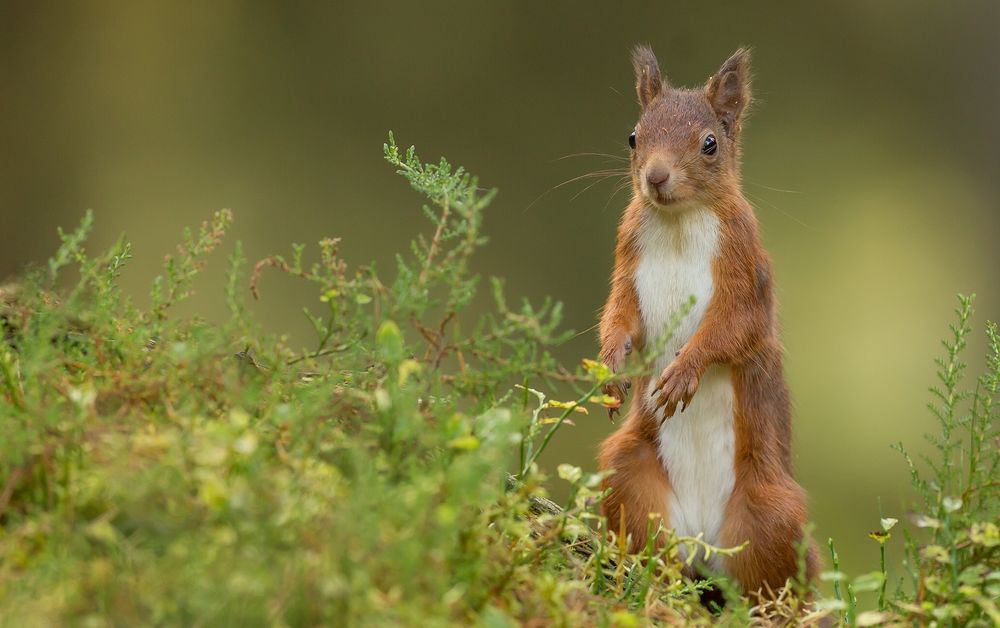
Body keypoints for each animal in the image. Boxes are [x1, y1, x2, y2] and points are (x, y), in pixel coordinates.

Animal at [596, 46, 819, 596]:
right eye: (633, 136)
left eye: (710, 144)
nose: (655, 177)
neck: (678, 221)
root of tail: (702, 539)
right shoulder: (627, 261)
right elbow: (620, 315)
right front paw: (611, 366)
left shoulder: (745, 267)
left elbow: (734, 328)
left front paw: (684, 371)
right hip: (628, 473)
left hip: (770, 509)